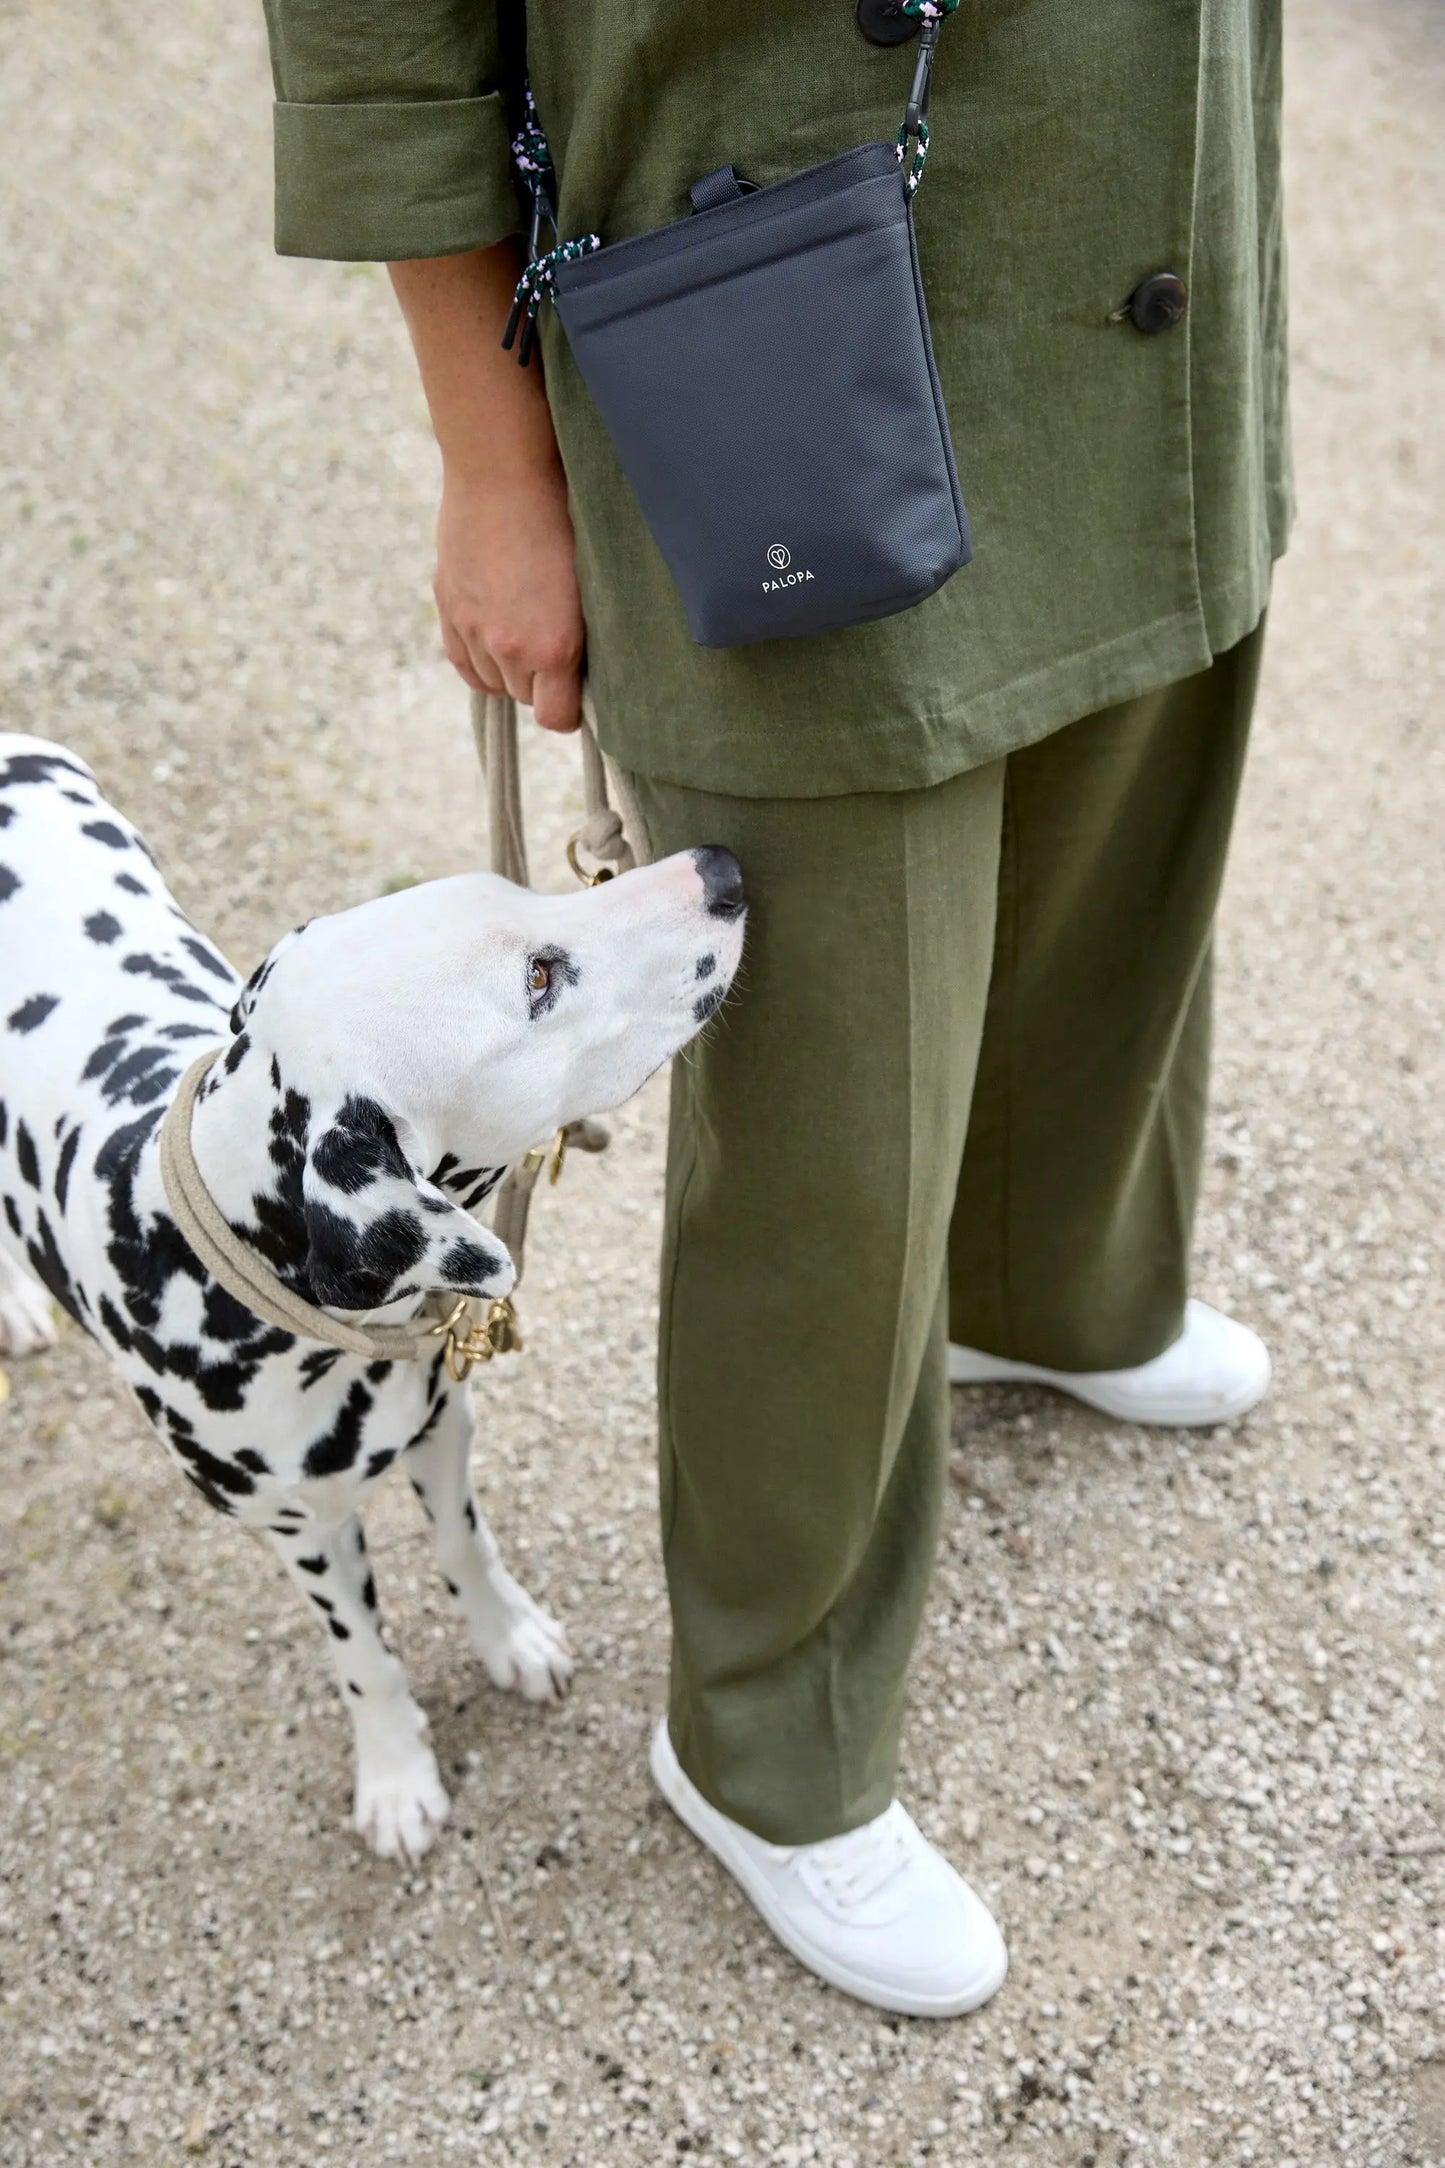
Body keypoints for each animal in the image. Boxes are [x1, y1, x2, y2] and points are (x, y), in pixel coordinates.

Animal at [0, 737, 745, 1855]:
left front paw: (508, 1636)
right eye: (538, 978)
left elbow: (466, 1545)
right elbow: (363, 1655)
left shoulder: (439, 1427)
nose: (723, 869)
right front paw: (394, 1773)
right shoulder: (300, 1530)